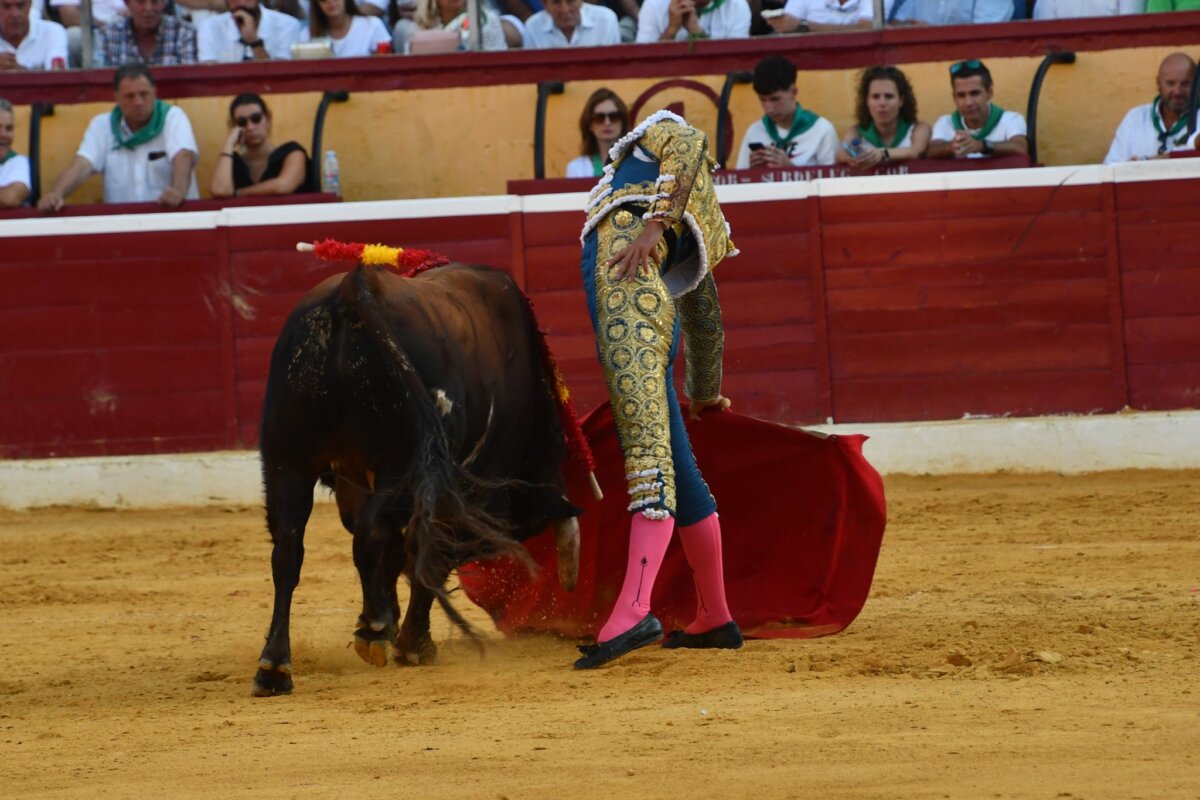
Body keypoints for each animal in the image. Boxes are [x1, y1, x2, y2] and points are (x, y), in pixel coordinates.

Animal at [253, 260, 584, 697]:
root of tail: (352, 293)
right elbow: (426, 554)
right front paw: (412, 643)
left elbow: (394, 553)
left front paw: (391, 622)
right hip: (401, 467)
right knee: (374, 534)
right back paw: (375, 629)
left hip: (286, 461)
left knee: (289, 550)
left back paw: (275, 666)